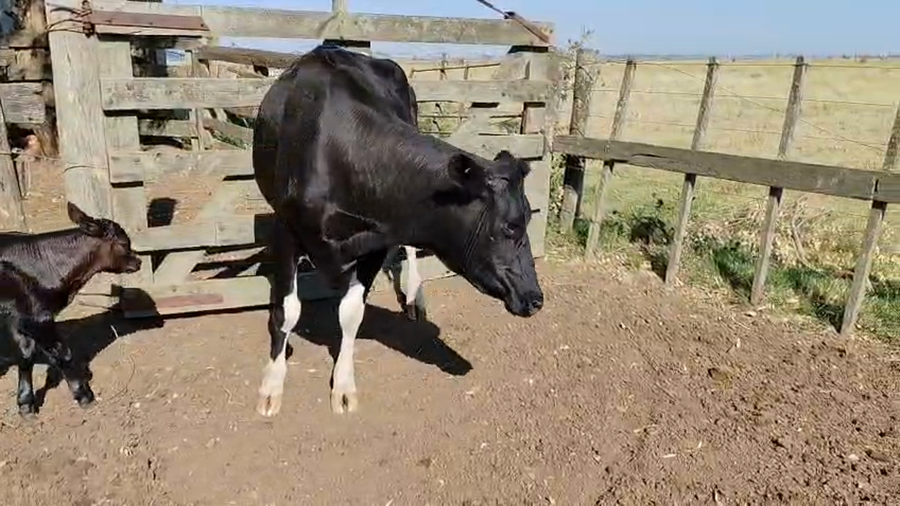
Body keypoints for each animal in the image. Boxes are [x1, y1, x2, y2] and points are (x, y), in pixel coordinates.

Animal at [0, 203, 142, 417]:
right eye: (124, 243)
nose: (138, 262)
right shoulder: (40, 318)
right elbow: (64, 354)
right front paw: (84, 395)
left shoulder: (21, 319)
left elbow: (25, 356)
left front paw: (25, 405)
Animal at [252, 44, 544, 418]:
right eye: (511, 226)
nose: (536, 298)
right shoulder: (286, 228)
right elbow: (287, 312)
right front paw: (271, 384)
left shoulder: (378, 238)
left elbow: (351, 314)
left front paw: (343, 384)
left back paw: (415, 297)